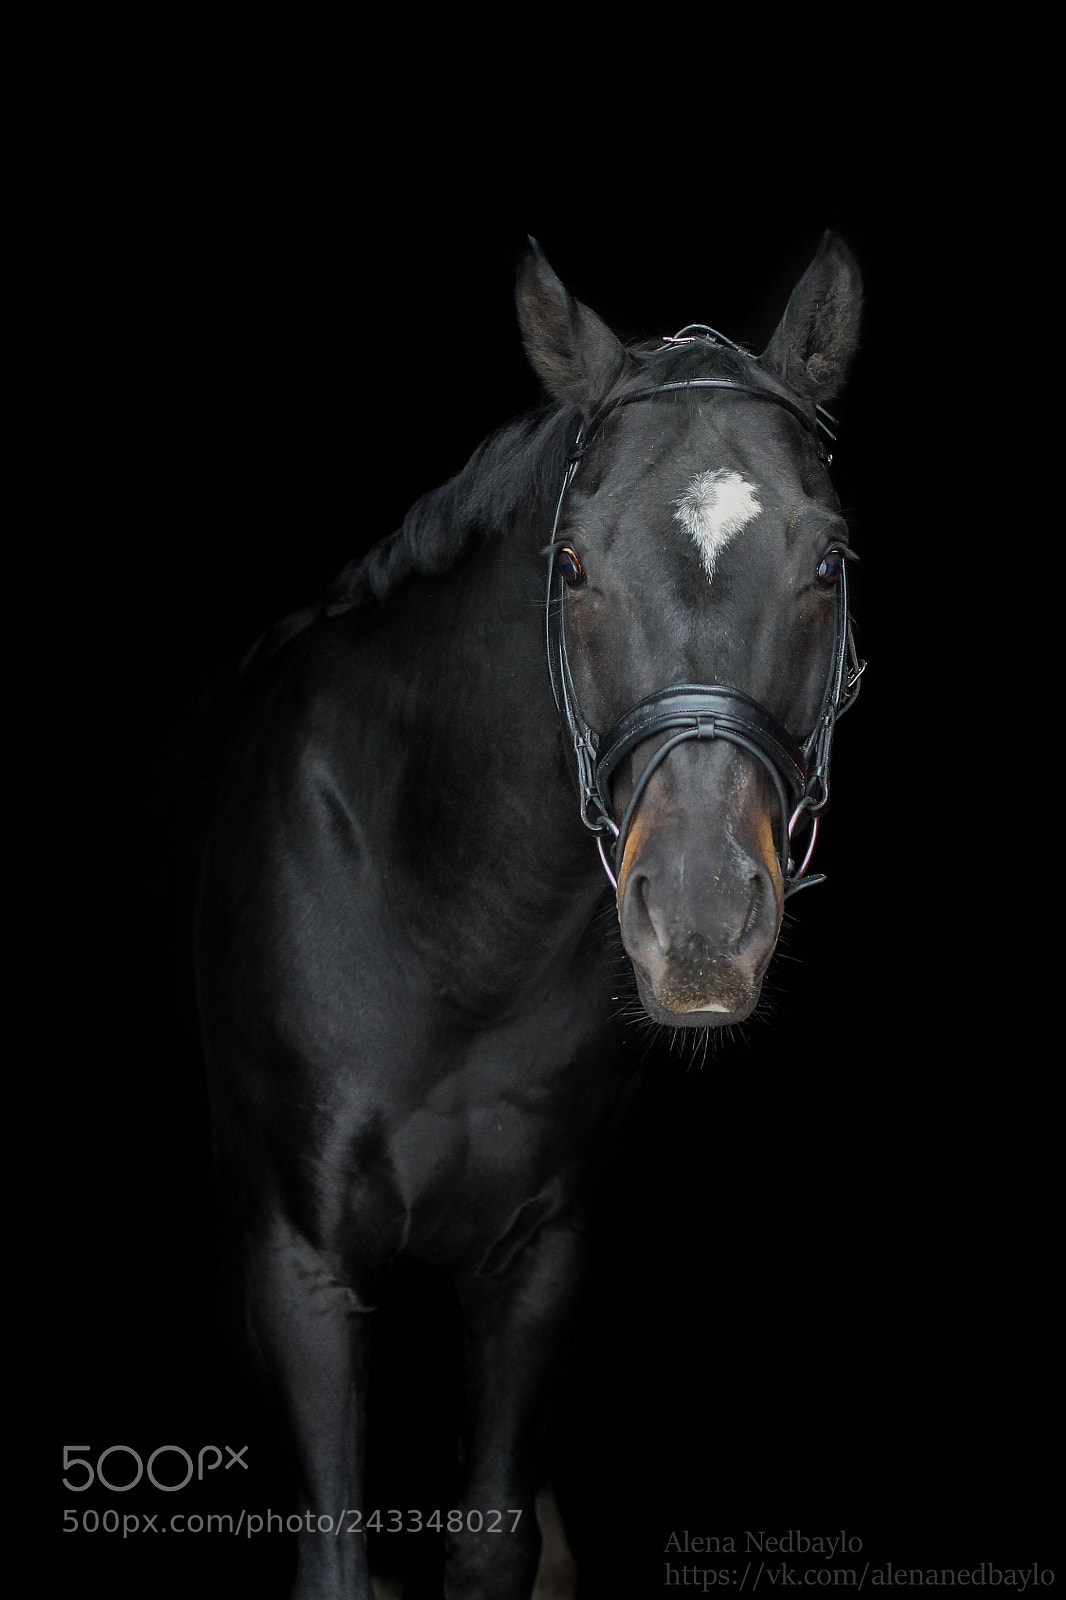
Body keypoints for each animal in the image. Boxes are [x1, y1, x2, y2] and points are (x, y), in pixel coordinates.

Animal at [194, 231, 864, 1599]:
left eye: (827, 562)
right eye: (571, 563)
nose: (701, 926)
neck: (450, 926)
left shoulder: (533, 1261)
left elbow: (493, 1541)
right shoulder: (297, 1266)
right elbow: (337, 1561)